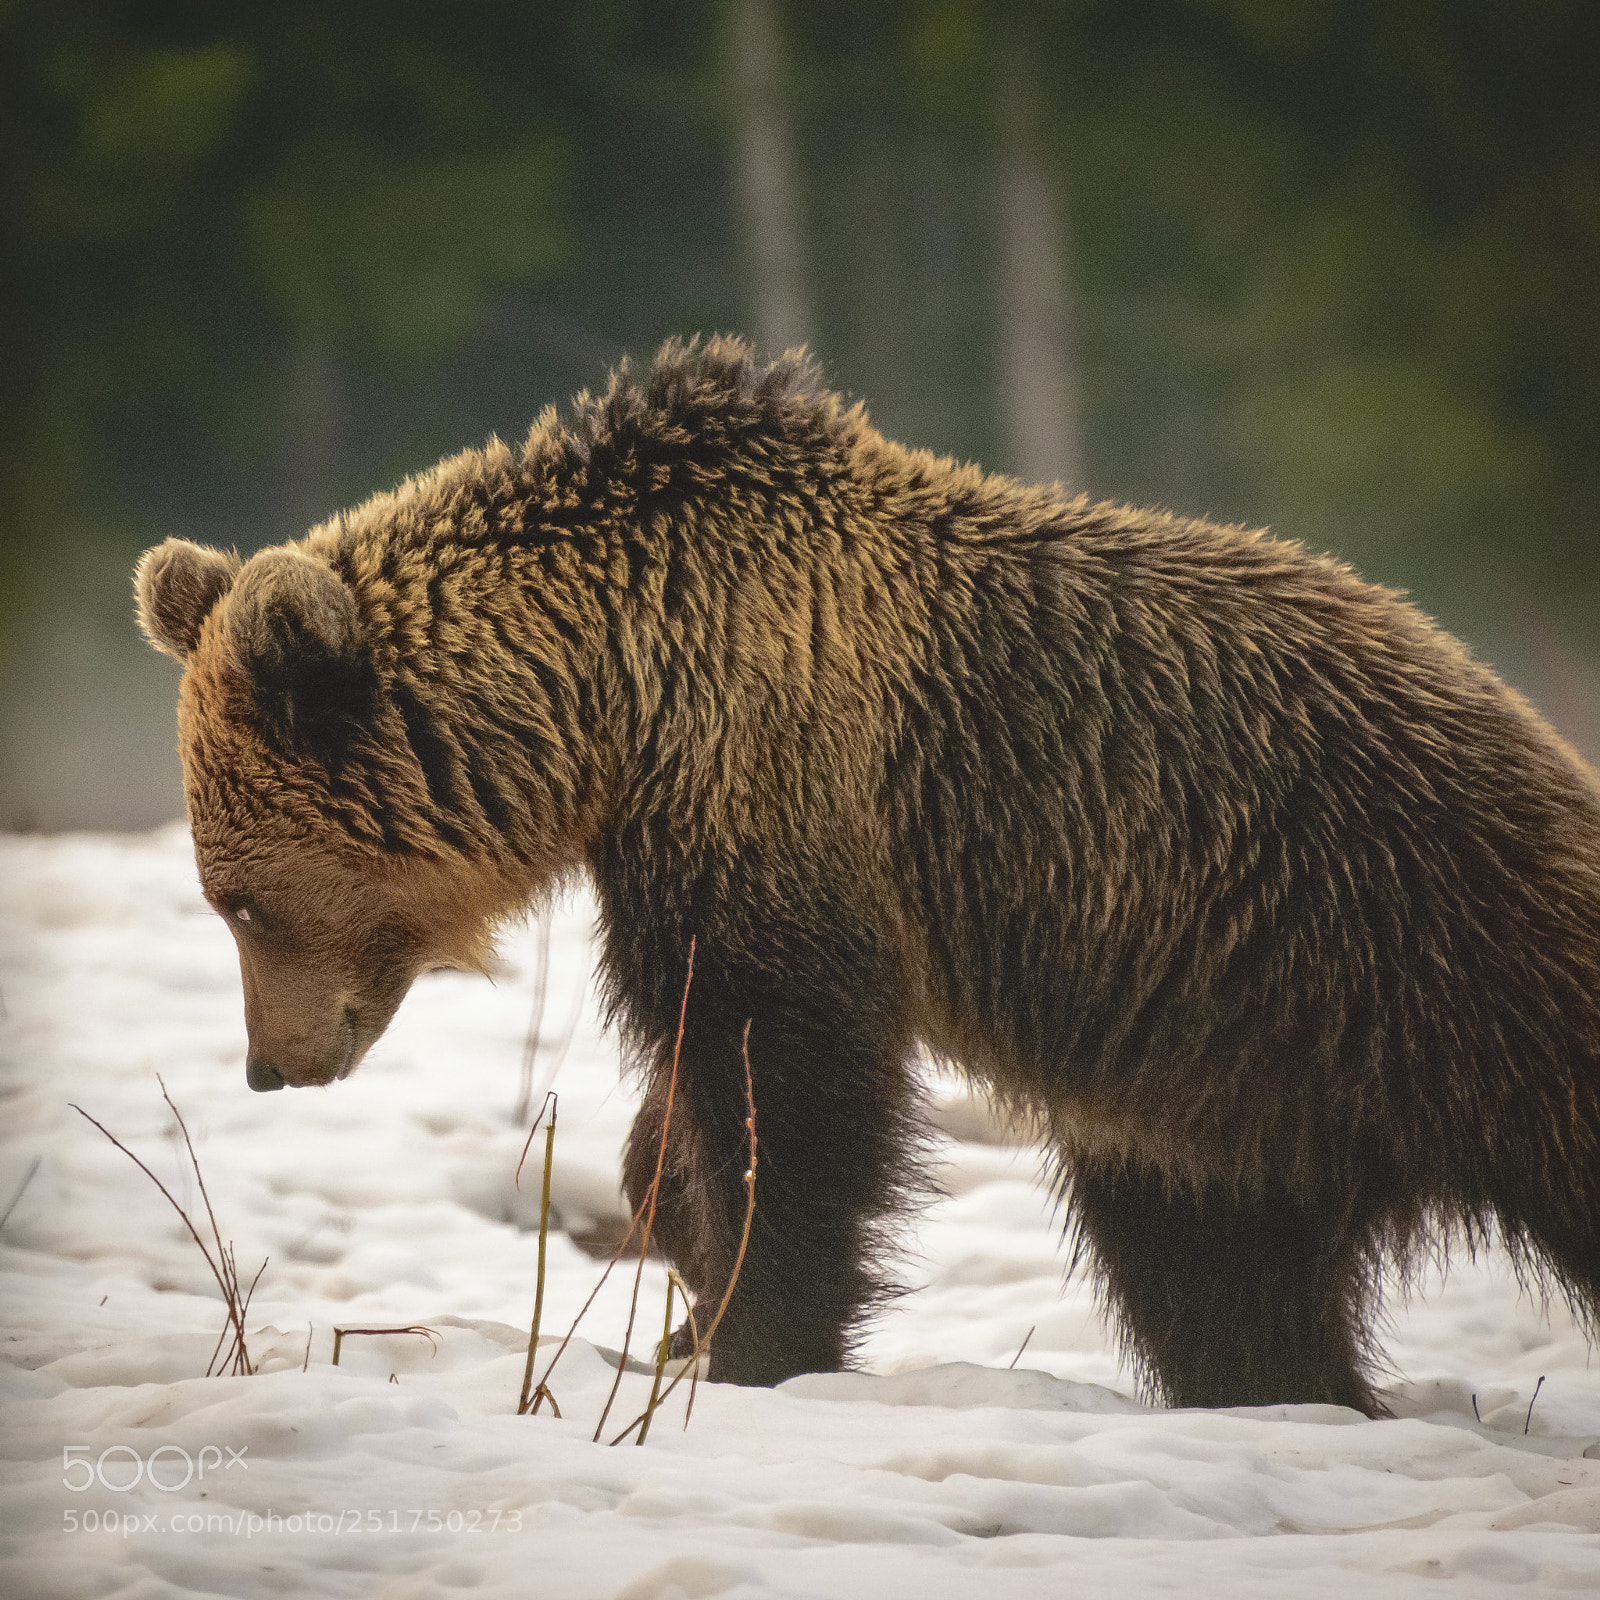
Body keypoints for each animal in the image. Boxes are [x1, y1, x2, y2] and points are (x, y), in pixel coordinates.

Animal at [134, 335, 1600, 1414]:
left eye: (238, 899)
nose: (270, 1064)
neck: (619, 689)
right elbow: (694, 1081)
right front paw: (676, 1266)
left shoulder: (774, 795)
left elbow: (781, 1083)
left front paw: (743, 1336)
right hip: (1219, 1077)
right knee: (1218, 1273)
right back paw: (1287, 1394)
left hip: (1419, 937)